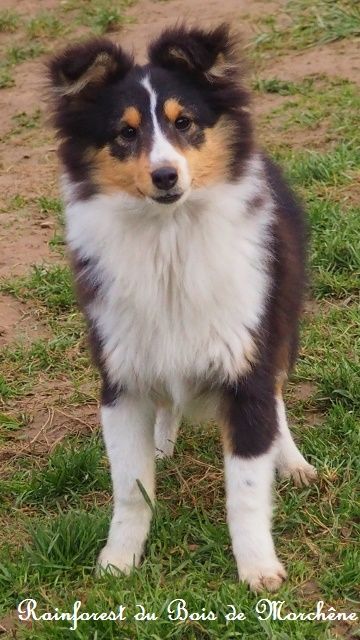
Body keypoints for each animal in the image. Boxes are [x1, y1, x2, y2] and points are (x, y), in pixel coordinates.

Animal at [47, 25, 318, 596]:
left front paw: (258, 571)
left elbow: (245, 487)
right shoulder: (121, 376)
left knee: (278, 397)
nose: (166, 176)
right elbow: (130, 486)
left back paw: (292, 461)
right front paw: (118, 561)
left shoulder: (246, 363)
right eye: (125, 133)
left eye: (184, 122)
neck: (168, 239)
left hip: (281, 320)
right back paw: (163, 440)